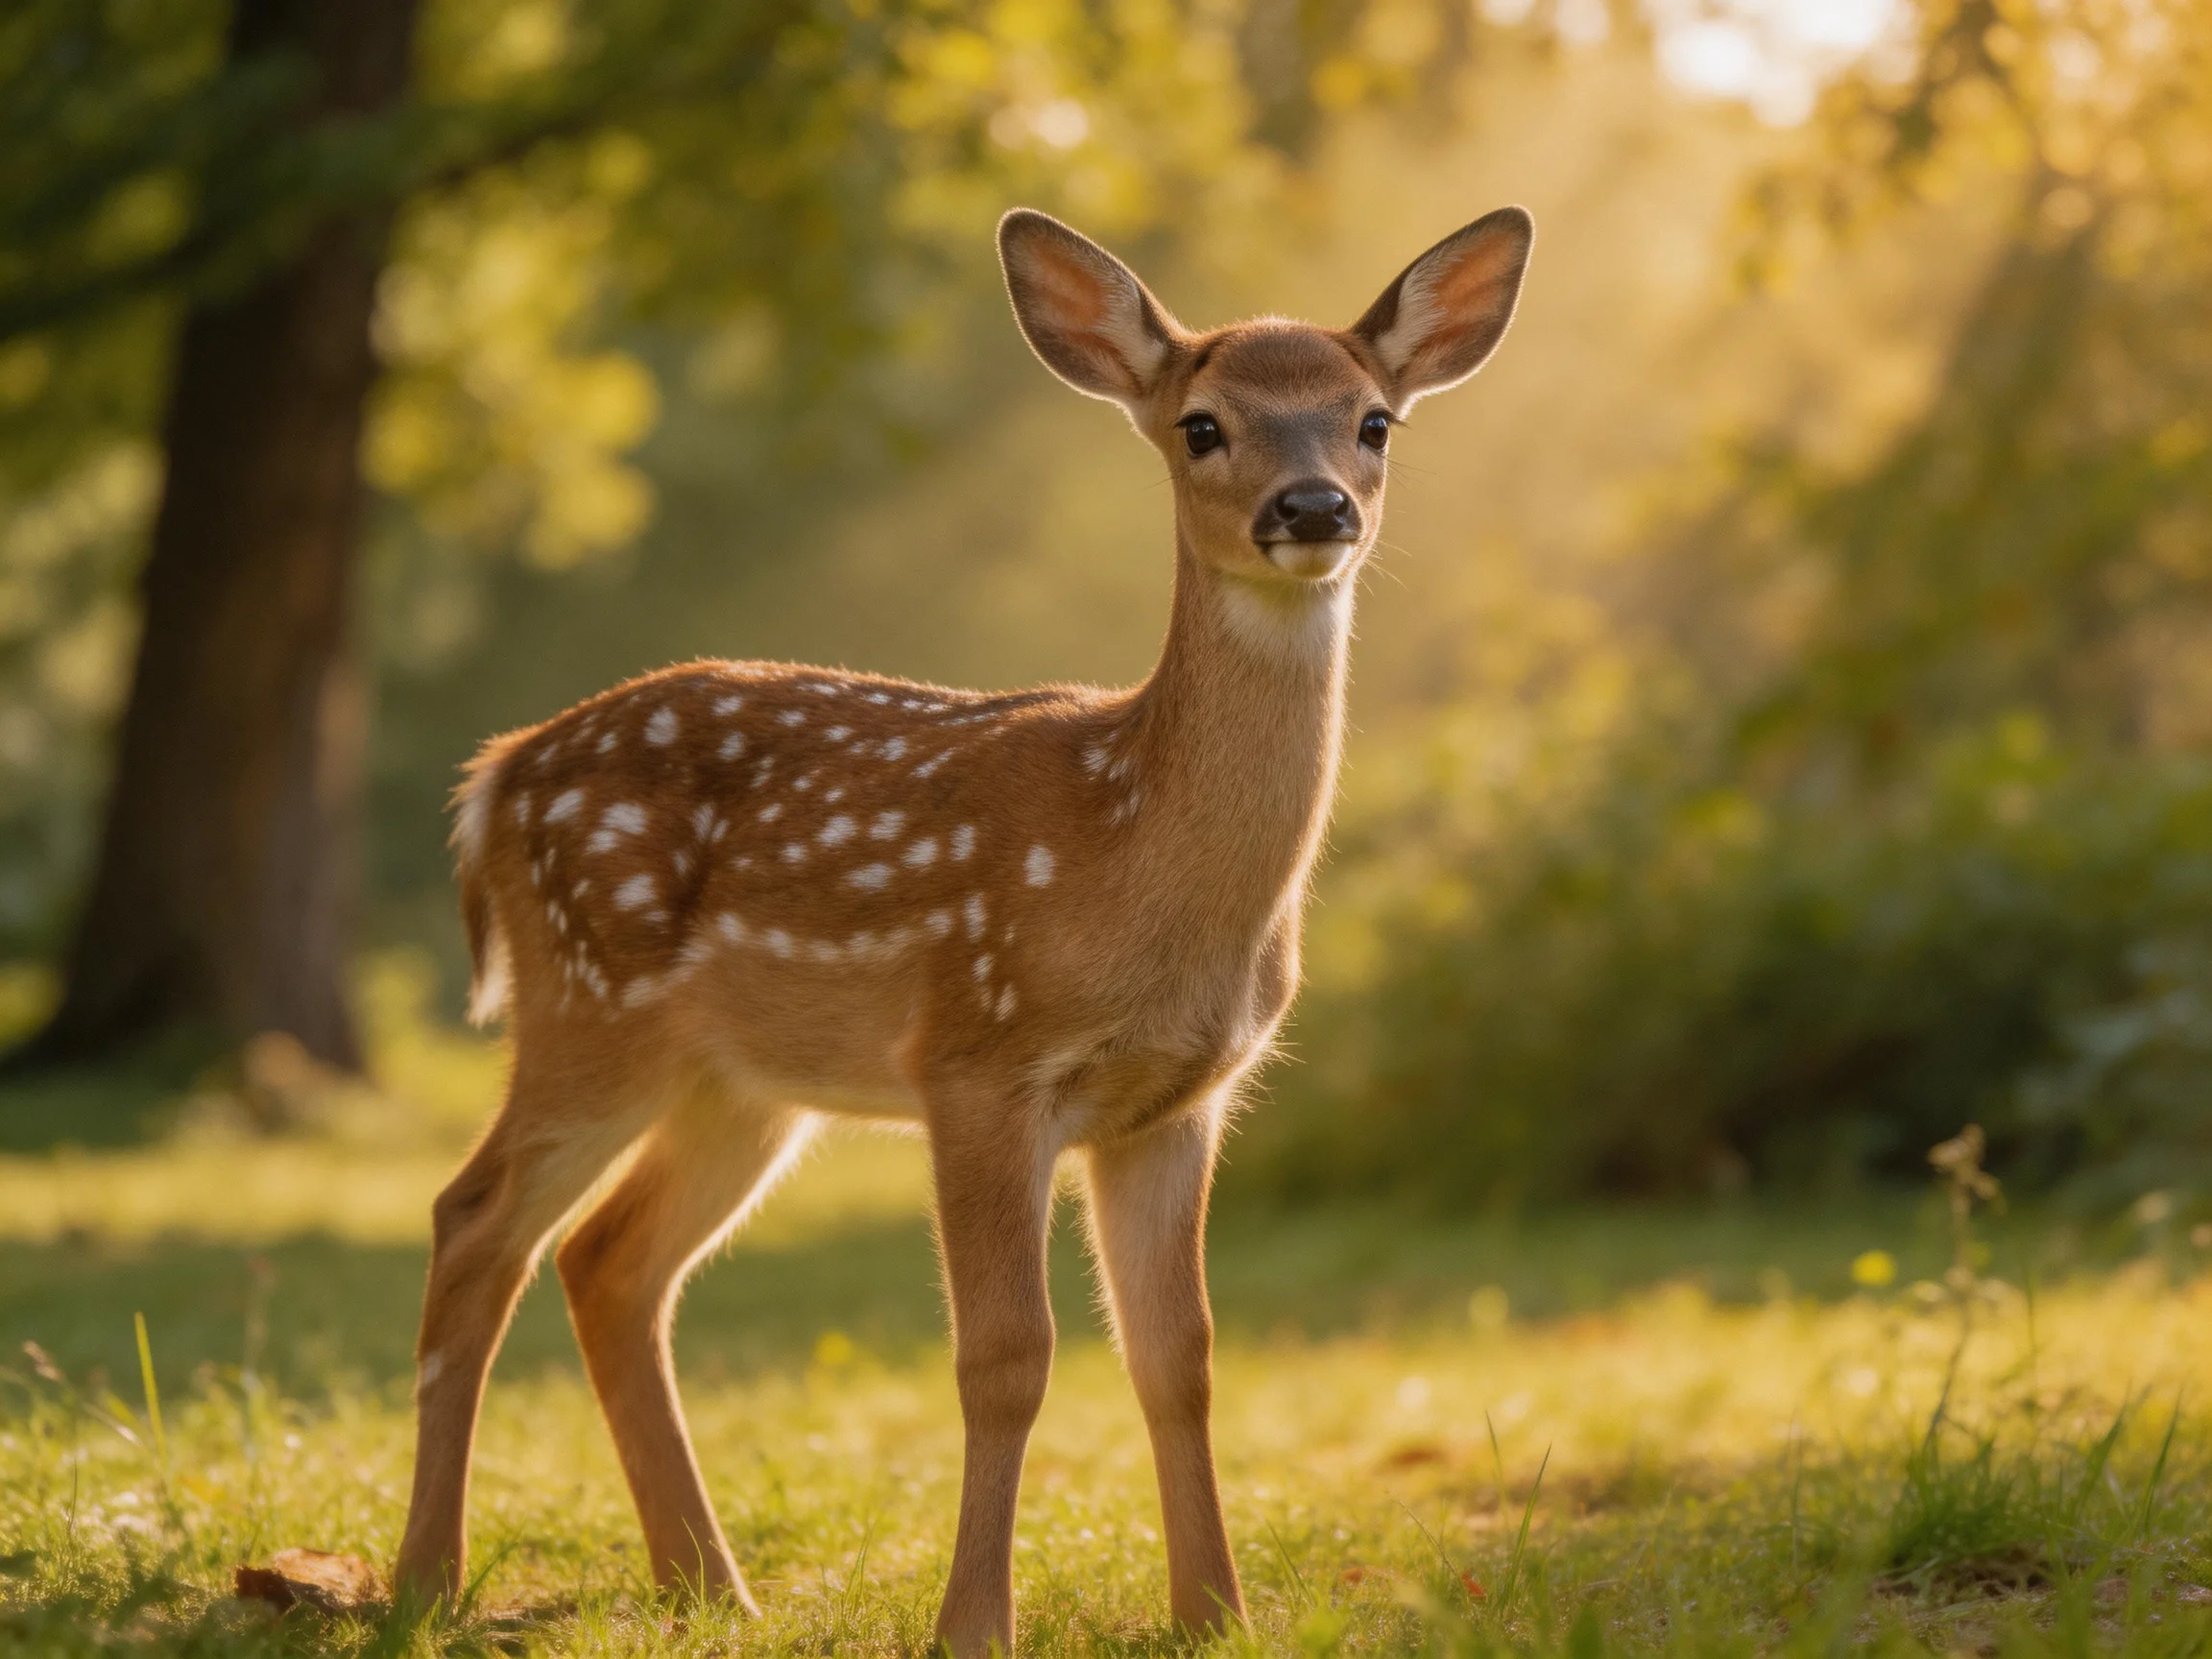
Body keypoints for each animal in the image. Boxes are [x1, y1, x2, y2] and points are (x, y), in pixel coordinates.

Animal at [393, 202, 1533, 1654]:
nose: (1313, 506)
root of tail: (492, 781)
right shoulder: (979, 1060)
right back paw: (425, 1583)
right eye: (1202, 424)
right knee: (475, 1220)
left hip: (741, 1084)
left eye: (1373, 420)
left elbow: (1182, 1355)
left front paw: (1215, 1614)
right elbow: (1007, 1356)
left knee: (609, 1262)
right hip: (589, 1005)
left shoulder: (1178, 1101)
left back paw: (711, 1587)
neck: (1134, 857)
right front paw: (974, 1623)